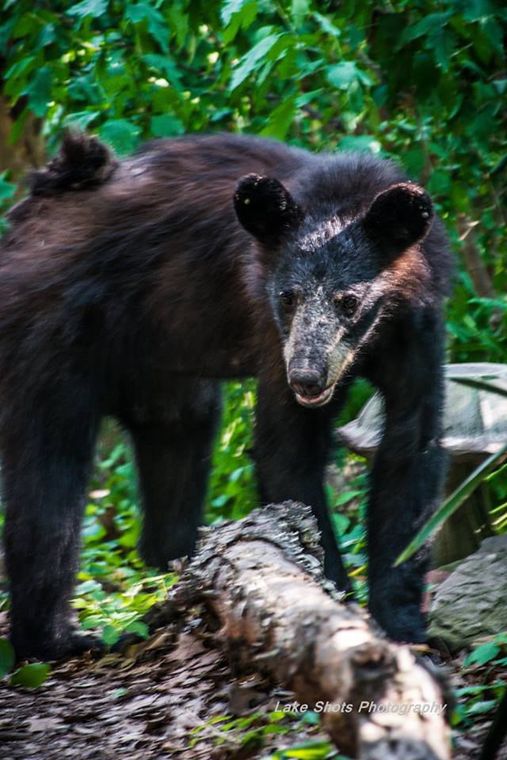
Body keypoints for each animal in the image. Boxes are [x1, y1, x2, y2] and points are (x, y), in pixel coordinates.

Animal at [0, 132, 453, 660]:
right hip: (49, 338)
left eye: (349, 300)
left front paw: (404, 624)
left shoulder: (416, 328)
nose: (307, 378)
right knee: (49, 477)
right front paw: (335, 600)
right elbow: (286, 452)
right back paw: (55, 640)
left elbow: (411, 447)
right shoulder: (270, 333)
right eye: (288, 296)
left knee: (177, 439)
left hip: (161, 359)